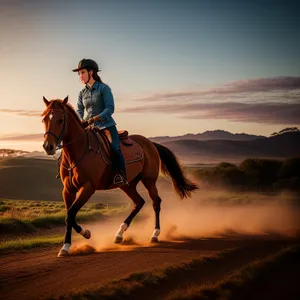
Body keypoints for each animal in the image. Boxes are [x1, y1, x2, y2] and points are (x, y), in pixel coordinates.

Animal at [41, 96, 198, 258]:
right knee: (139, 202)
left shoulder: (88, 187)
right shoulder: (68, 190)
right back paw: (119, 234)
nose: (48, 146)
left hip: (149, 181)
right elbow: (69, 216)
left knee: (156, 202)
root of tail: (150, 143)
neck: (80, 151)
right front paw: (72, 242)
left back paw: (155, 234)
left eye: (60, 120)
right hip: (127, 185)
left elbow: (71, 213)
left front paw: (79, 237)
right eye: (44, 119)